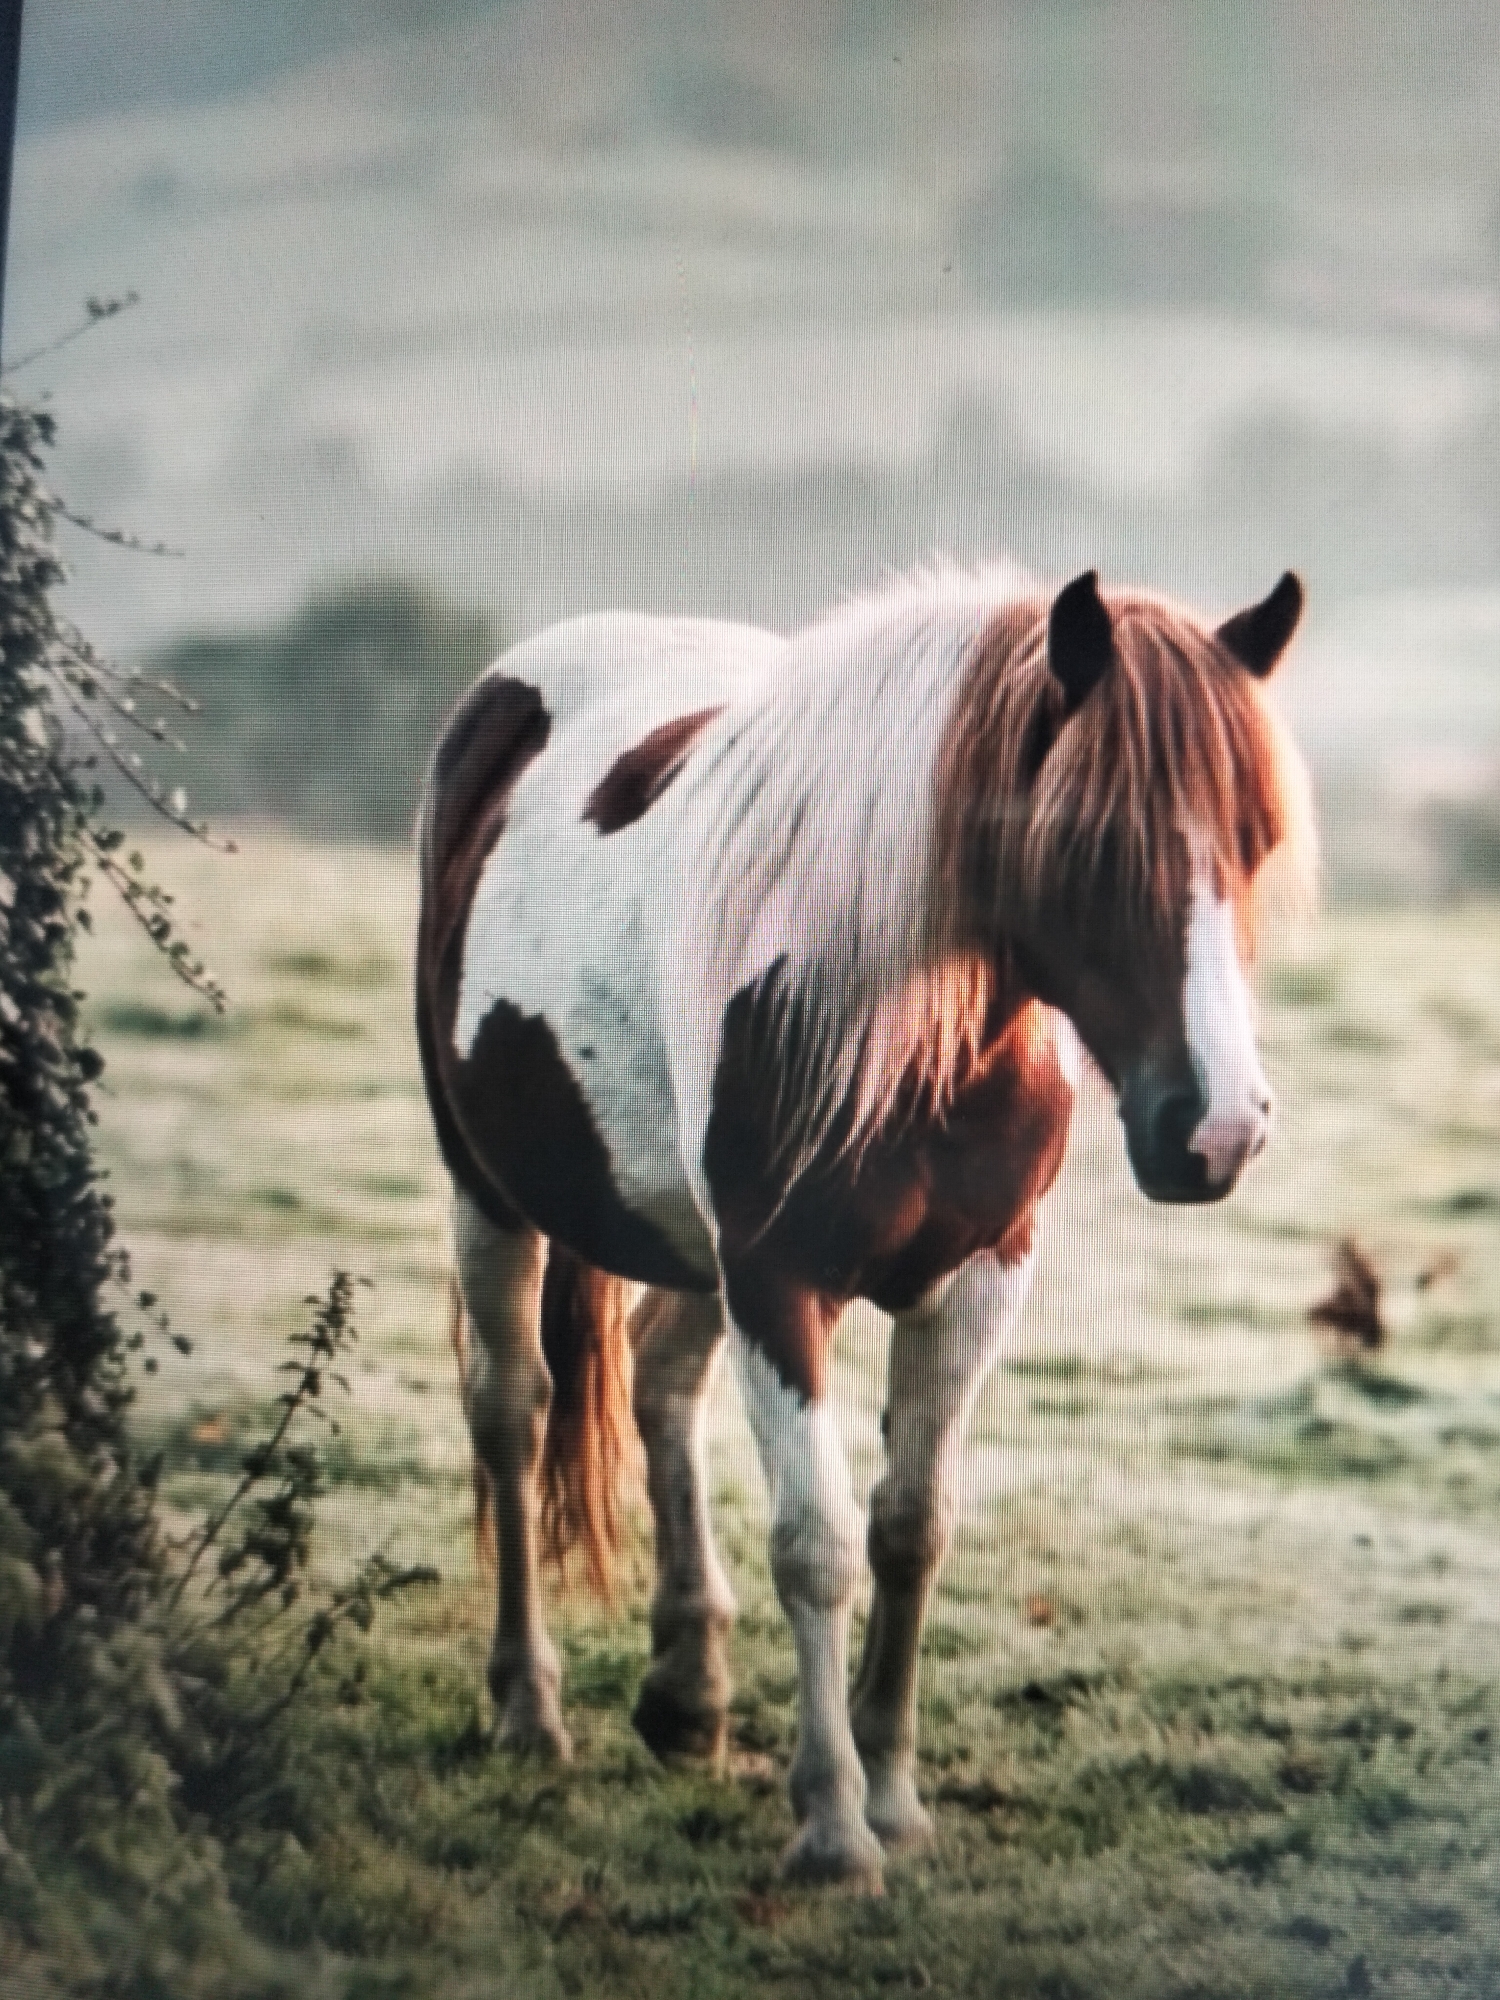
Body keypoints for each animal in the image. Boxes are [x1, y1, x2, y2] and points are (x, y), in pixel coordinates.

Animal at [414, 561, 1313, 1891]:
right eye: (1093, 843)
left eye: (1254, 841)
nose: (1219, 1130)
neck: (911, 1016)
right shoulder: (777, 1281)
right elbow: (818, 1544)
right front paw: (834, 1826)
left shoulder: (980, 1276)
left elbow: (910, 1527)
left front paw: (892, 1792)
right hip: (490, 1194)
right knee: (513, 1415)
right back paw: (530, 1704)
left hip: (689, 1249)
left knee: (660, 1384)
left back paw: (687, 1687)